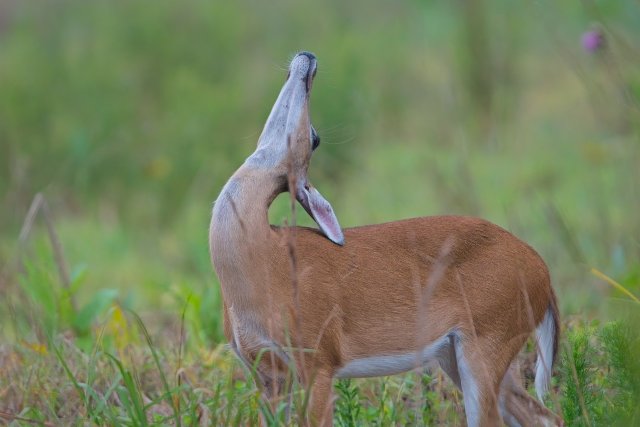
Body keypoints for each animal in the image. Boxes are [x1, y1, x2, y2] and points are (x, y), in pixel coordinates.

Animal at [209, 51, 563, 427]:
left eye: (315, 137)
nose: (309, 59)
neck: (263, 263)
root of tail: (542, 272)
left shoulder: (319, 360)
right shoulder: (265, 374)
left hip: (486, 343)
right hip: (459, 353)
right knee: (543, 416)